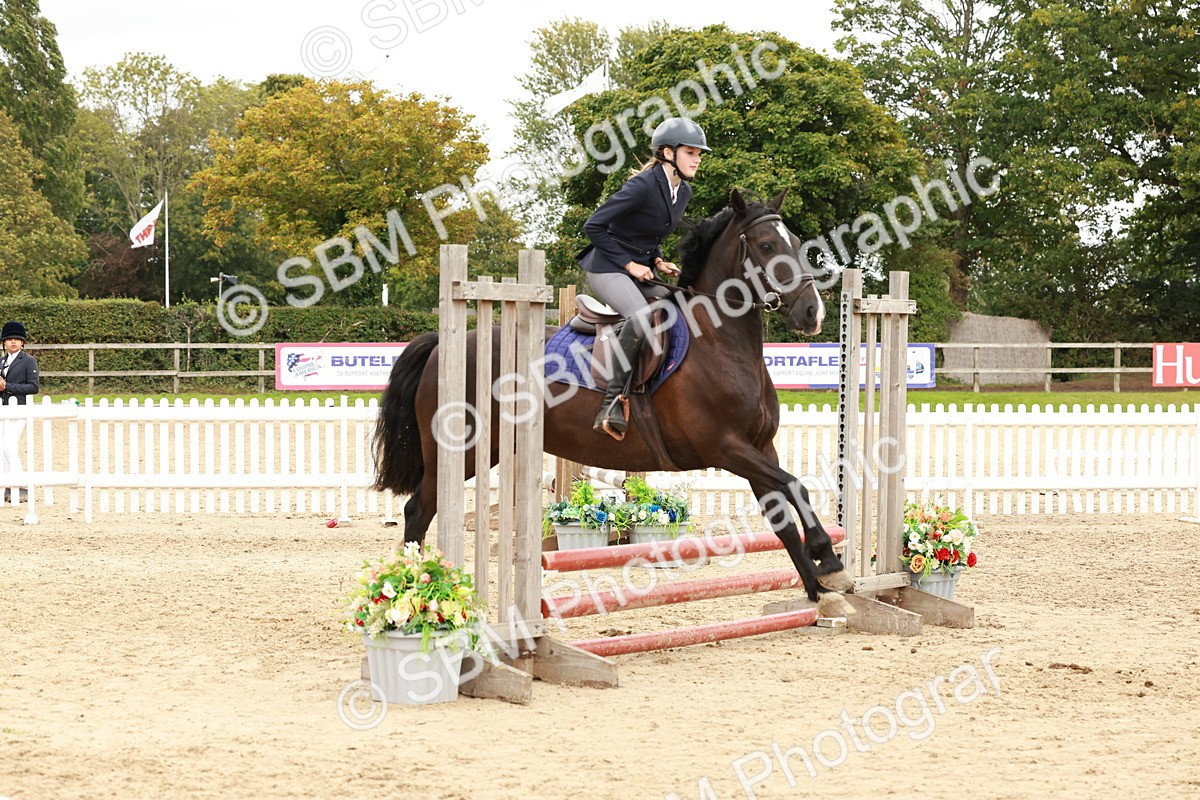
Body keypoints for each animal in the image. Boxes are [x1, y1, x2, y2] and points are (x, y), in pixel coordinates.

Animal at [373, 189, 855, 617]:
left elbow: (784, 517)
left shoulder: (760, 448)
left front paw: (821, 590)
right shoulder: (724, 447)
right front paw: (830, 562)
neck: (721, 343)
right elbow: (795, 486)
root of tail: (441, 344)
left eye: (796, 241)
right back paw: (417, 592)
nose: (812, 313)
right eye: (767, 245)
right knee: (419, 510)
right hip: (460, 450)